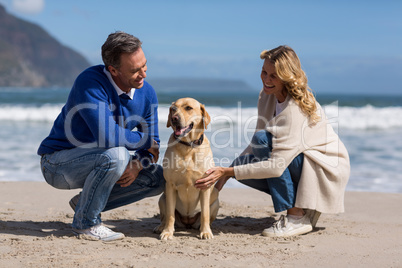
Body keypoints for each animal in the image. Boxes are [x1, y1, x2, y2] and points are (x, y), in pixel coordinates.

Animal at [154, 97, 218, 240]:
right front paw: (167, 232)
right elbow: (170, 215)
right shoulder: (170, 185)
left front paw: (206, 232)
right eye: (173, 109)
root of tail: (187, 223)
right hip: (162, 199)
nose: (174, 118)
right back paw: (161, 227)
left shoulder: (205, 186)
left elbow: (205, 213)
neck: (188, 146)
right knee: (165, 216)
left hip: (216, 201)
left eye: (188, 108)